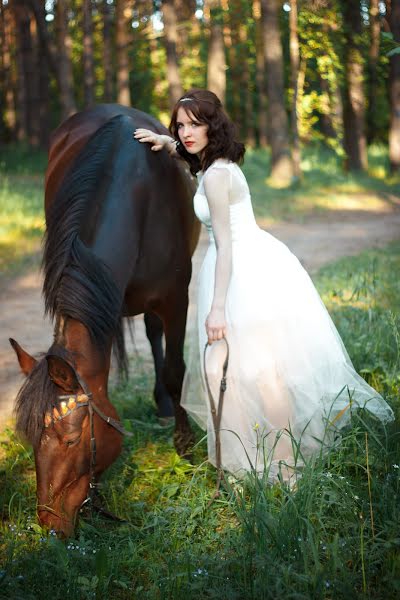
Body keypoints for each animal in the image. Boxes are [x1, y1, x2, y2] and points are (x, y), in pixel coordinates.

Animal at [10, 102, 200, 536]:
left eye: (71, 439)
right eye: (30, 438)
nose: (49, 526)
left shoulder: (176, 298)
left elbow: (175, 370)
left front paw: (186, 446)